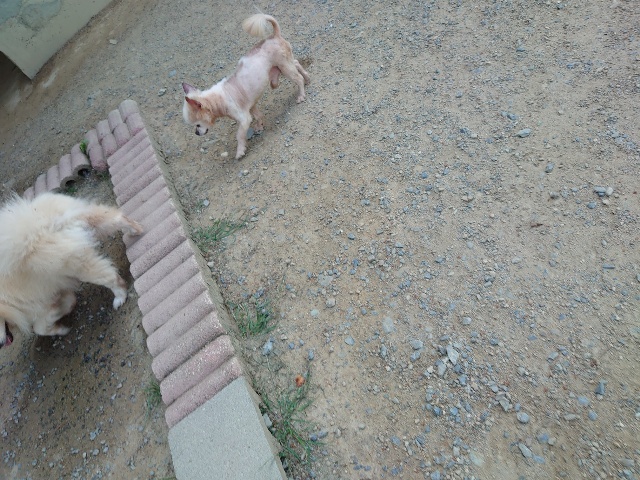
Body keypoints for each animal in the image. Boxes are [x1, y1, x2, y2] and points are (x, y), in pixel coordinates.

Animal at [0, 192, 143, 348]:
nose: (1, 344)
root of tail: (42, 226)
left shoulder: (38, 308)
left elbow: (40, 328)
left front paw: (61, 329)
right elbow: (66, 301)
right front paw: (65, 310)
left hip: (77, 265)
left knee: (111, 278)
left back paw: (120, 298)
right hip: (88, 220)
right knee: (116, 218)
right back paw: (136, 230)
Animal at [182, 13, 311, 159]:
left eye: (197, 125)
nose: (196, 133)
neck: (218, 99)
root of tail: (274, 35)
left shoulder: (244, 119)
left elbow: (239, 135)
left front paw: (240, 151)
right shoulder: (251, 106)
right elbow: (258, 115)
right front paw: (260, 125)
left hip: (285, 68)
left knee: (298, 78)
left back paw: (301, 94)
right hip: (285, 65)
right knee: (297, 63)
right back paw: (307, 78)